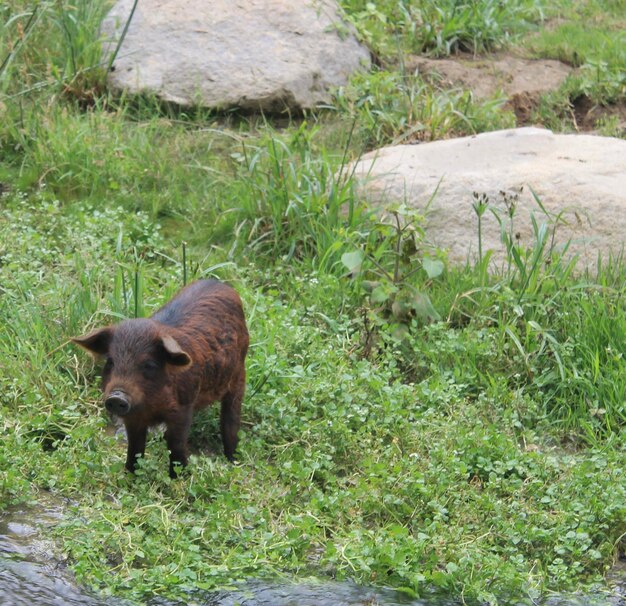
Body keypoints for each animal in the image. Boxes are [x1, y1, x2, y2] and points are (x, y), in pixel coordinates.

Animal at [72, 282, 247, 480]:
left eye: (149, 364)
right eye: (110, 361)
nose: (116, 396)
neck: (149, 406)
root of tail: (222, 285)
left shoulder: (183, 409)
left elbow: (176, 444)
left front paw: (178, 478)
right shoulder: (133, 419)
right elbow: (135, 447)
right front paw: (130, 475)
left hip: (239, 375)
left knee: (231, 419)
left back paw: (232, 459)